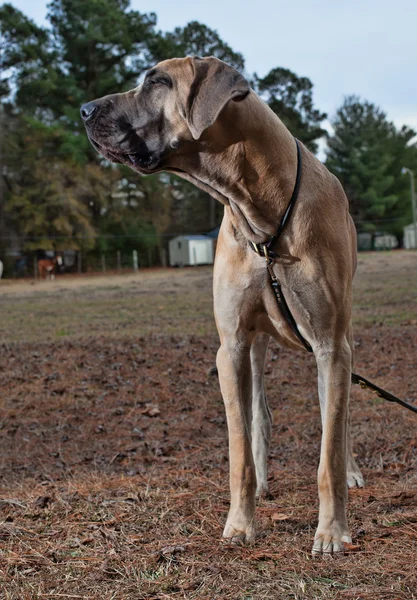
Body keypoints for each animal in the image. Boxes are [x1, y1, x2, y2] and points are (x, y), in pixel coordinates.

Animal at [79, 56, 362, 552]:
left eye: (157, 81)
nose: (85, 110)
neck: (262, 212)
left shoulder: (330, 344)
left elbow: (329, 446)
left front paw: (330, 531)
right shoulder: (230, 346)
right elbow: (239, 449)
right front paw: (241, 522)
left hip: (339, 339)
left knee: (339, 417)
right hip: (256, 345)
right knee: (260, 415)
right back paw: (265, 482)